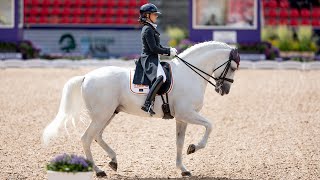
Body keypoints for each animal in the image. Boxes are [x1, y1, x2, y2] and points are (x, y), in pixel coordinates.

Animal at [43, 40, 241, 177]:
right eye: (232, 67)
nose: (224, 90)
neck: (190, 74)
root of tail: (86, 76)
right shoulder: (187, 114)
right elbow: (210, 125)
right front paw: (193, 147)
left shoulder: (181, 118)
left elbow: (179, 143)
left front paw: (183, 169)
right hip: (102, 115)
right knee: (86, 138)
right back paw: (98, 171)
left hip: (108, 114)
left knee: (97, 136)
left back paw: (113, 161)